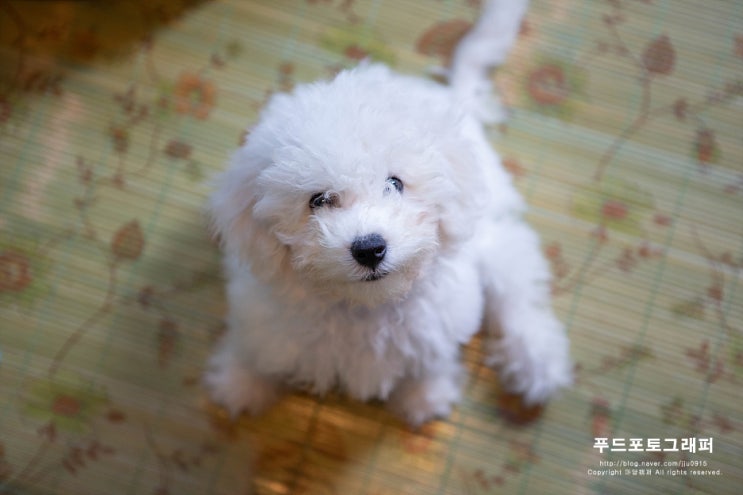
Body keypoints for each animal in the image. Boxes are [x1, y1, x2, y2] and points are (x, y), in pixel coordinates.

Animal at [206, 0, 572, 426]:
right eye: (318, 200)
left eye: (394, 183)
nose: (369, 248)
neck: (366, 308)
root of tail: (453, 99)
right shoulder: (266, 317)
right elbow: (259, 348)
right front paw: (238, 383)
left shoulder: (438, 322)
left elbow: (429, 361)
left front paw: (424, 397)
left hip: (488, 231)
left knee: (516, 291)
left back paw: (537, 363)